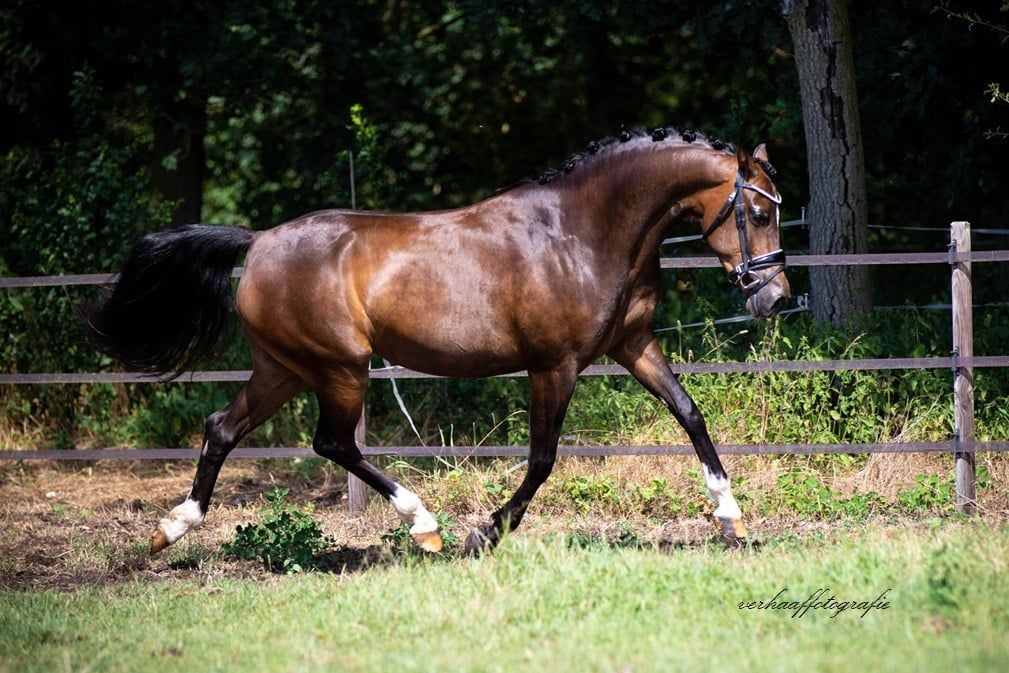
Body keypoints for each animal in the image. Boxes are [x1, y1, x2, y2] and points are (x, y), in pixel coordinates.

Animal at [80, 128, 790, 555]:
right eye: (757, 212)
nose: (776, 297)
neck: (579, 232)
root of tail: (256, 244)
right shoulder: (553, 366)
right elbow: (542, 458)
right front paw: (487, 533)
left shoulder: (632, 345)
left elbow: (690, 413)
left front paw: (731, 516)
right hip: (340, 368)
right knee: (332, 442)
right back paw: (425, 527)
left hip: (283, 367)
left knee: (223, 427)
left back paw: (173, 528)